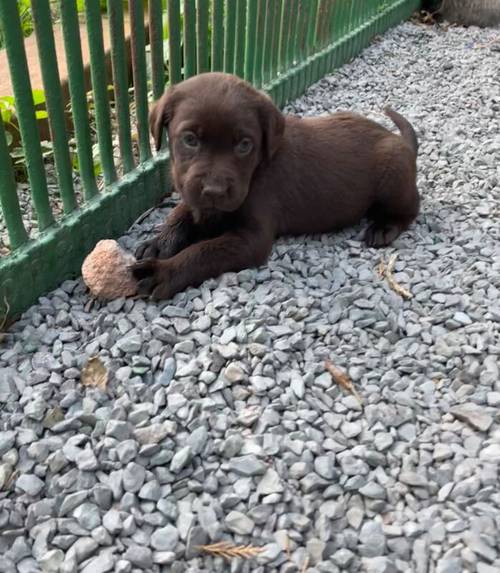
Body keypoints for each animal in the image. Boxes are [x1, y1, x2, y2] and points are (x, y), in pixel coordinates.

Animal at [132, 71, 418, 300]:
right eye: (190, 139)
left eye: (244, 145)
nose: (214, 191)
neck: (256, 170)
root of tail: (398, 140)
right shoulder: (195, 196)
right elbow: (180, 212)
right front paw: (160, 242)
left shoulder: (251, 237)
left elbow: (202, 252)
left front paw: (163, 271)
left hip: (393, 176)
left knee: (411, 208)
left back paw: (384, 227)